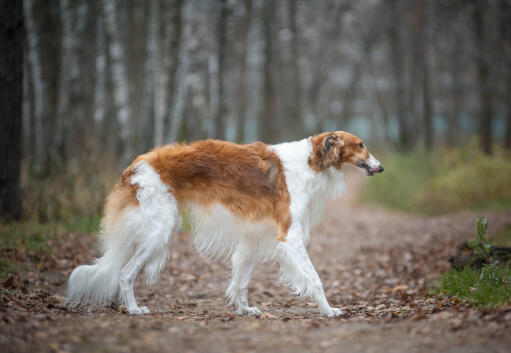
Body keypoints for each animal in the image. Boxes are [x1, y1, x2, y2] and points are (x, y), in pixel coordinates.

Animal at [65, 130, 384, 316]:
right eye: (361, 145)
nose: (380, 167)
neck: (311, 162)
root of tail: (136, 166)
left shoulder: (254, 235)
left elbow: (241, 279)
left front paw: (244, 309)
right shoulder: (290, 236)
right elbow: (315, 279)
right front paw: (329, 310)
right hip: (159, 231)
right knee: (125, 273)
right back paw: (133, 309)